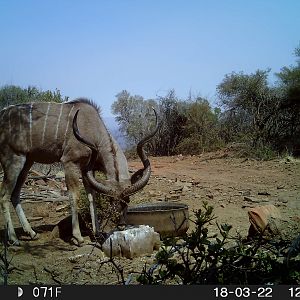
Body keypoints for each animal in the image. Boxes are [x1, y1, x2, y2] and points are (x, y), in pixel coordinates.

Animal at [0, 99, 159, 245]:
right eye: (110, 200)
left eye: (128, 200)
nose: (120, 225)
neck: (92, 129)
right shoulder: (70, 162)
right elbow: (74, 196)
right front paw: (78, 237)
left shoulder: (86, 169)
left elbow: (91, 196)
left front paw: (97, 233)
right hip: (14, 159)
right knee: (4, 195)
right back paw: (13, 238)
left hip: (28, 162)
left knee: (15, 194)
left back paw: (32, 233)